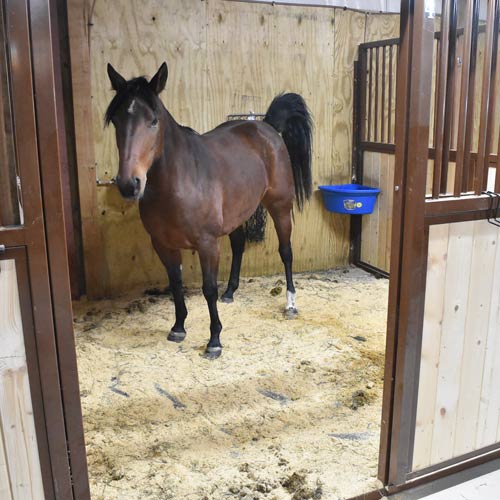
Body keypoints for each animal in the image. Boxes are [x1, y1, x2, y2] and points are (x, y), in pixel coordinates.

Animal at [106, 63, 312, 360]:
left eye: (153, 121)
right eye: (116, 120)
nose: (128, 184)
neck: (179, 182)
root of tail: (266, 126)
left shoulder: (207, 244)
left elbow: (208, 289)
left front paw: (214, 340)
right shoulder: (163, 245)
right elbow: (176, 284)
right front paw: (178, 327)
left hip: (280, 207)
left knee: (286, 252)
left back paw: (291, 303)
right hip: (238, 214)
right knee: (239, 244)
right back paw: (231, 292)